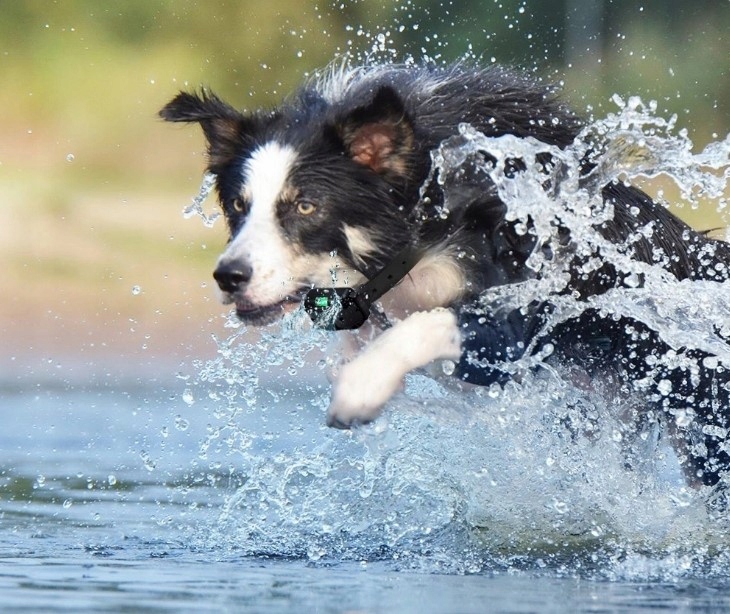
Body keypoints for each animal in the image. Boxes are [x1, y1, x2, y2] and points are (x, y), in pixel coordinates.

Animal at [162, 61, 728, 486]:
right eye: (239, 206)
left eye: (305, 206)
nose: (229, 277)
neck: (427, 212)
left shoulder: (521, 320)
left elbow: (429, 325)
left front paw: (362, 387)